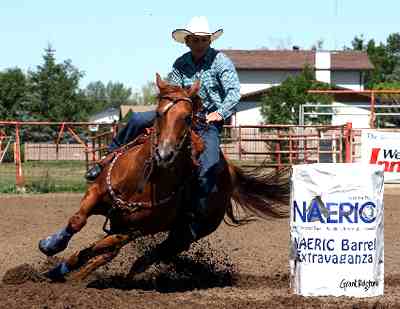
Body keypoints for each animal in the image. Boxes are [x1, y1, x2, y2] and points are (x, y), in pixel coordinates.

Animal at [40, 73, 290, 280]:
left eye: (187, 117)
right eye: (159, 114)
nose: (164, 153)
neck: (141, 182)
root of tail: (229, 170)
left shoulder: (133, 230)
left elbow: (100, 247)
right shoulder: (97, 193)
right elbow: (77, 221)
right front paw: (50, 246)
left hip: (187, 232)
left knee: (148, 255)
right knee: (111, 252)